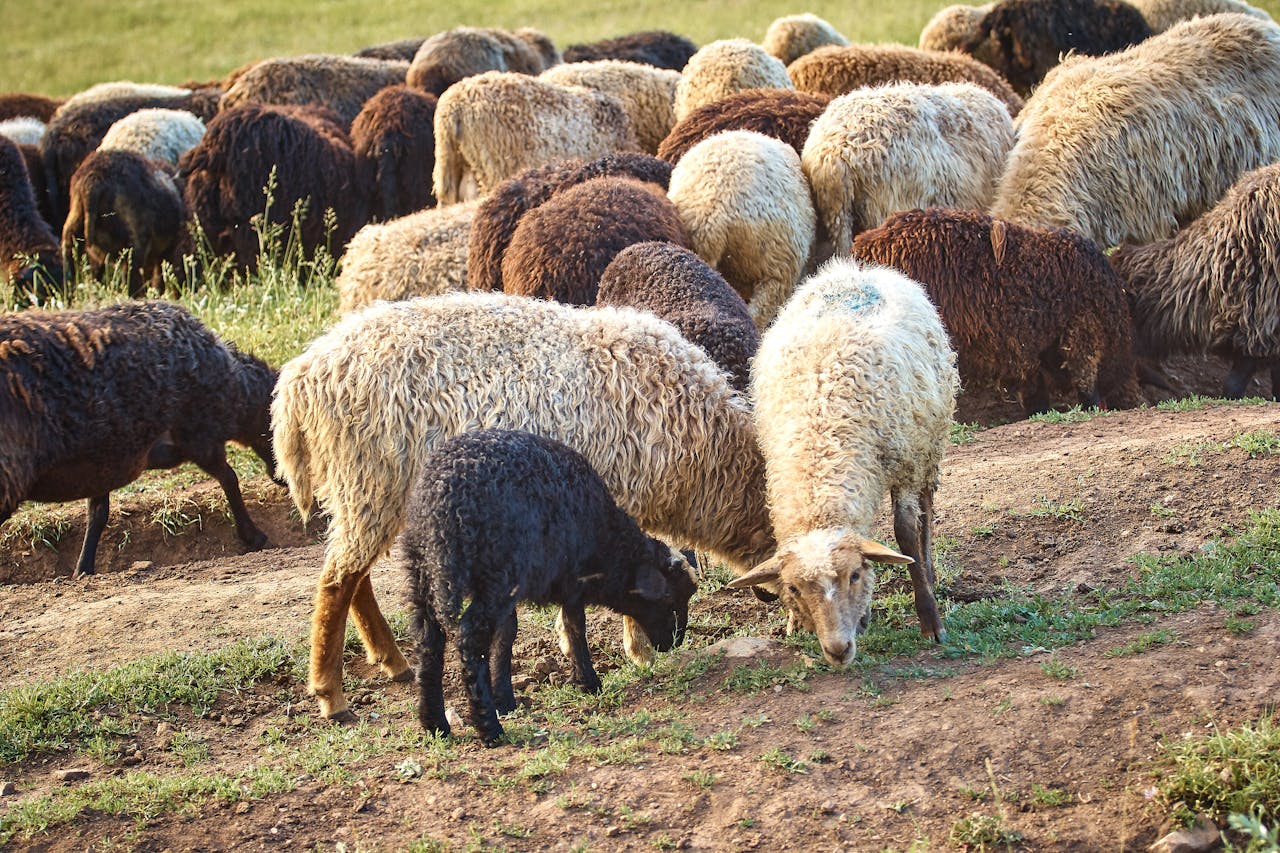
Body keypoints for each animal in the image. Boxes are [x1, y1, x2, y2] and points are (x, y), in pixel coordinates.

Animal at [0, 300, 279, 578]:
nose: (282, 479)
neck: (234, 386)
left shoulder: (104, 458)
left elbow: (98, 514)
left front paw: (84, 569)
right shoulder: (200, 436)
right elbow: (229, 478)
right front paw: (253, 536)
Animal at [61, 149, 187, 293]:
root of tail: (93, 180)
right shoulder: (168, 249)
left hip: (74, 226)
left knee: (71, 265)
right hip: (134, 244)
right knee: (131, 279)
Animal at [403, 428, 697, 745]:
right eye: (670, 597)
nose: (675, 642)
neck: (608, 544)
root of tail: (442, 502)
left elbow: (506, 635)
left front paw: (505, 699)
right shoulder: (571, 578)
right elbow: (575, 626)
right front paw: (588, 682)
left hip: (422, 570)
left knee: (428, 638)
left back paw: (435, 723)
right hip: (495, 571)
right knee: (470, 638)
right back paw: (489, 728)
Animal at [731, 257, 959, 663]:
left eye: (853, 575)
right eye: (794, 589)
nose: (839, 650)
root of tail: (855, 268)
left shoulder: (903, 463)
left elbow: (905, 535)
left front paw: (930, 620)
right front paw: (798, 621)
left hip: (929, 443)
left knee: (927, 513)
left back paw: (929, 572)